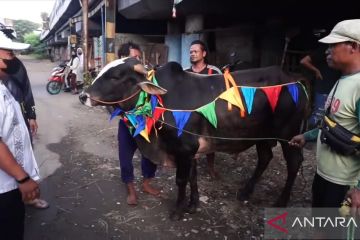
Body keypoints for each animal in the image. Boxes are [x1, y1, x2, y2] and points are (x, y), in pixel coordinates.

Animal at [80, 58, 308, 219]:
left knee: (294, 163)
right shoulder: (191, 151)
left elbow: (181, 180)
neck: (158, 100)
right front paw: (192, 205)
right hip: (262, 135)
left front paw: (178, 210)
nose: (83, 95)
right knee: (265, 158)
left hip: (288, 135)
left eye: (116, 76)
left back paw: (281, 201)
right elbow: (192, 177)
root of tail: (297, 80)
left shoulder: (184, 148)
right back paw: (245, 192)